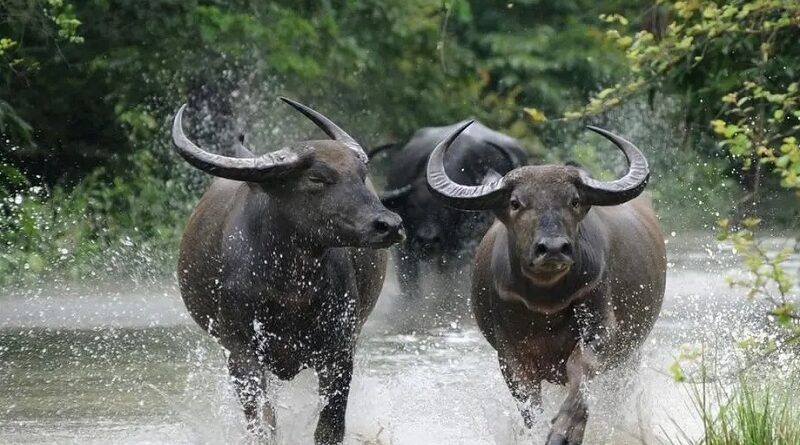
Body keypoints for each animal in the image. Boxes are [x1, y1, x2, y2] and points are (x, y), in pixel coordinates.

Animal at [172, 98, 404, 444]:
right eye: (317, 178)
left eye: (361, 175)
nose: (389, 225)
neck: (290, 288)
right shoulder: (239, 348)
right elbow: (262, 419)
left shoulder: (339, 348)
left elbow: (330, 423)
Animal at [426, 122, 666, 445]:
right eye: (515, 203)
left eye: (574, 200)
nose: (553, 248)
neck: (546, 301)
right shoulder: (510, 356)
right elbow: (529, 405)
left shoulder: (602, 330)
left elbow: (581, 372)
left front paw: (564, 430)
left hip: (629, 355)